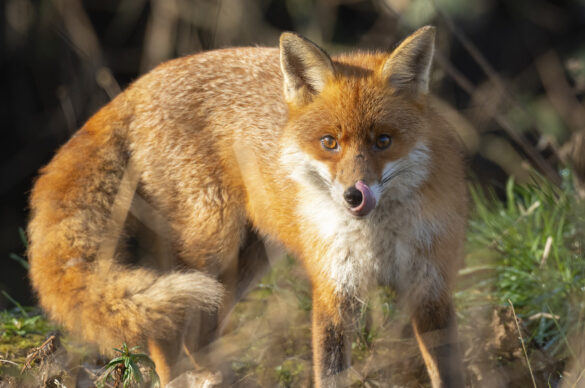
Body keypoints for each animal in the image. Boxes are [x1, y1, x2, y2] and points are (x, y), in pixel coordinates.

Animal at [27, 25, 466, 386]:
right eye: (329, 143)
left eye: (383, 141)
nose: (353, 195)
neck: (378, 238)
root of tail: (137, 86)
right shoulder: (333, 289)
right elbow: (330, 371)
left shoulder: (431, 287)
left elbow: (446, 372)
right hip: (209, 247)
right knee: (166, 333)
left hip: (244, 262)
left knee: (198, 336)